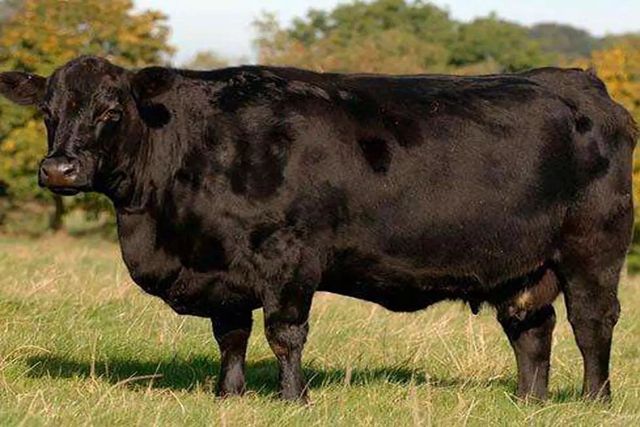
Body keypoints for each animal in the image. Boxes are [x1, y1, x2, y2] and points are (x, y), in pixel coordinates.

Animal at [0, 56, 636, 402]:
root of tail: (580, 83)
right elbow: (230, 334)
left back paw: (592, 400)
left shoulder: (287, 255)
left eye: (111, 111)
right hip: (522, 264)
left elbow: (284, 333)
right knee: (530, 327)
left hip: (593, 248)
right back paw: (530, 402)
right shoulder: (221, 269)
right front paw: (229, 395)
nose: (58, 168)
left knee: (591, 324)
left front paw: (292, 398)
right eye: (48, 113)